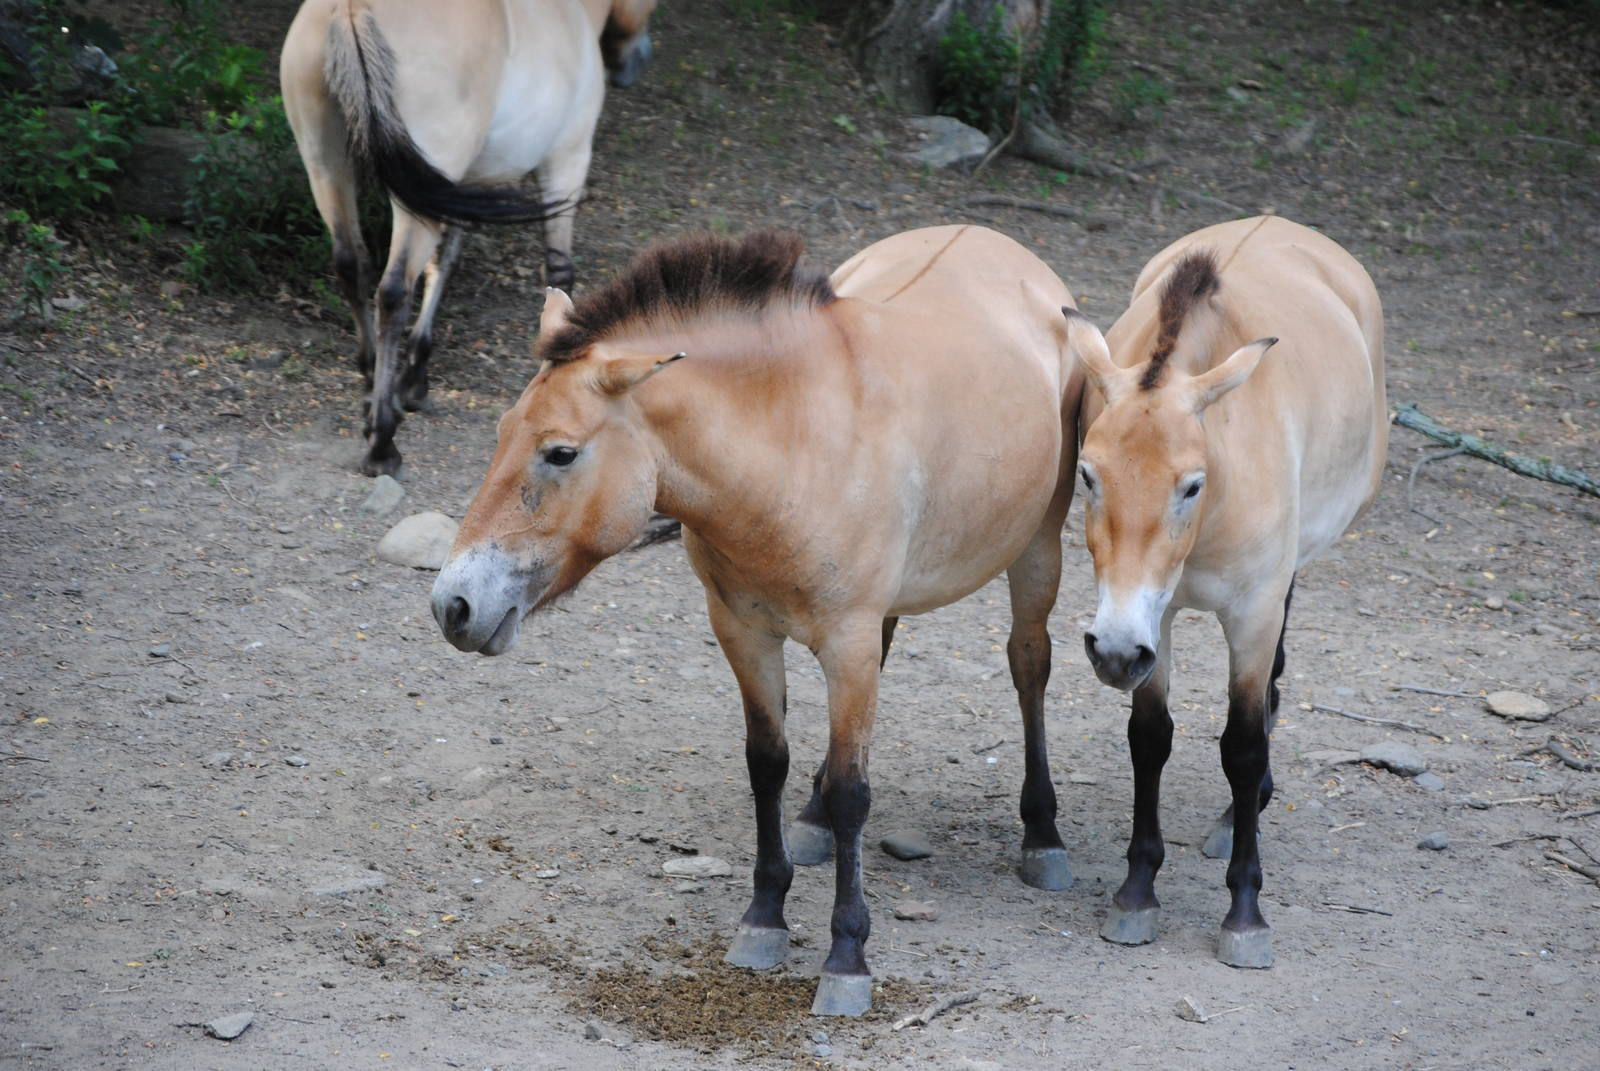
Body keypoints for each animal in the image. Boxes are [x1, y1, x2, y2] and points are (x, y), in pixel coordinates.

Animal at [280, 0, 658, 477]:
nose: (638, 61)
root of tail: (351, 9)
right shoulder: (568, 159)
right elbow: (560, 272)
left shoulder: (456, 186)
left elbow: (444, 264)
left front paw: (415, 379)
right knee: (393, 291)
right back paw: (382, 442)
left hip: (327, 167)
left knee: (352, 265)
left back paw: (370, 384)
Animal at [430, 226, 1086, 1015]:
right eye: (501, 432)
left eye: (560, 452)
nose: (453, 604)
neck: (790, 445)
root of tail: (1007, 248)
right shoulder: (743, 632)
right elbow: (766, 764)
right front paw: (764, 917)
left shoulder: (846, 639)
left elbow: (854, 791)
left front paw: (846, 955)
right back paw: (812, 824)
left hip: (1037, 552)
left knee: (1029, 665)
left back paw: (1043, 837)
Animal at [1061, 215, 1387, 969]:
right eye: (1088, 475)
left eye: (1191, 485)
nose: (1111, 651)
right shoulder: (1153, 620)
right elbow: (1149, 738)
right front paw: (1136, 893)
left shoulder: (1253, 614)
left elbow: (1242, 745)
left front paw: (1245, 911)